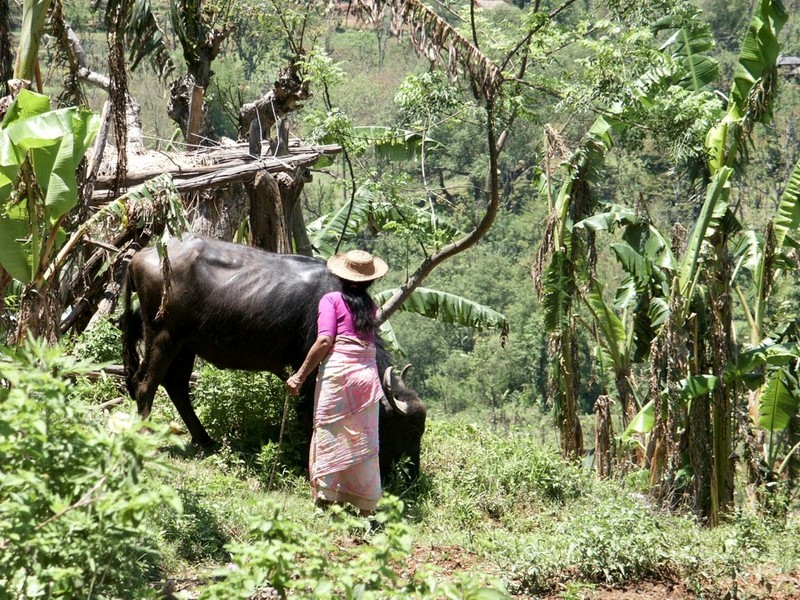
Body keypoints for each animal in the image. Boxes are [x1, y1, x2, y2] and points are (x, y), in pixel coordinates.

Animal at [119, 233, 428, 478]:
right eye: (410, 431)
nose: (413, 475)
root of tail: (141, 257)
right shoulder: (308, 366)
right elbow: (308, 413)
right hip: (163, 335)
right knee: (145, 384)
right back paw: (146, 437)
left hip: (185, 345)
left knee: (176, 386)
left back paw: (205, 439)